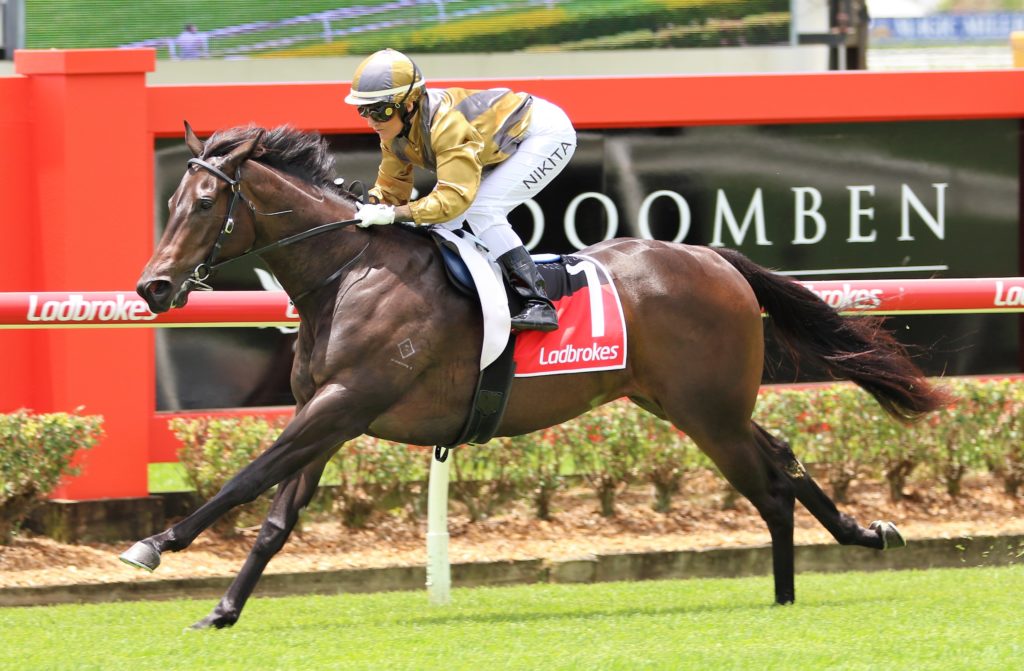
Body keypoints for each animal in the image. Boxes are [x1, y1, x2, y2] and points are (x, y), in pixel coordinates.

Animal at [122, 123, 949, 629]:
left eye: (204, 202)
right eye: (170, 200)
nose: (152, 287)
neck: (349, 270)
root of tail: (716, 258)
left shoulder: (345, 402)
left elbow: (246, 477)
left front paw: (155, 543)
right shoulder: (330, 413)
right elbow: (274, 517)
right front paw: (222, 609)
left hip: (705, 410)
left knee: (769, 483)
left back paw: (786, 590)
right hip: (688, 401)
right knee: (782, 456)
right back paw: (862, 534)